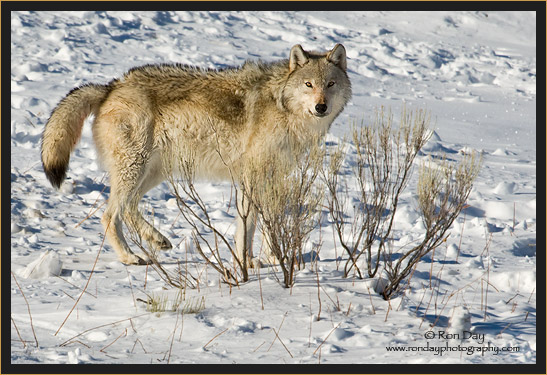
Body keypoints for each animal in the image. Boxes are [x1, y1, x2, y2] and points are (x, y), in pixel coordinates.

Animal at [41, 44, 352, 266]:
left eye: (330, 84)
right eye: (308, 84)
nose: (321, 107)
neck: (285, 109)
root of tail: (111, 86)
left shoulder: (266, 178)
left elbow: (256, 224)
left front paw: (259, 261)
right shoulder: (253, 177)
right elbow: (254, 224)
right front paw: (254, 261)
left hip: (153, 172)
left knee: (128, 208)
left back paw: (158, 240)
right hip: (136, 169)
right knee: (109, 215)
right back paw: (130, 257)